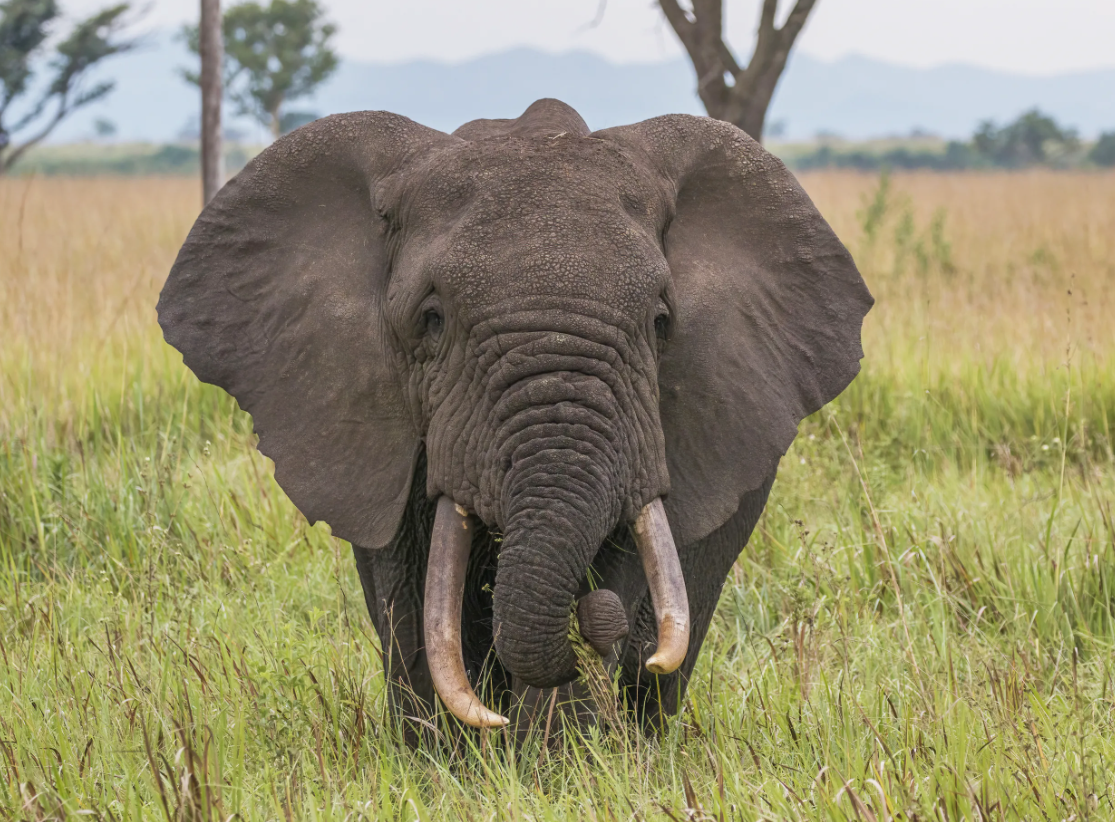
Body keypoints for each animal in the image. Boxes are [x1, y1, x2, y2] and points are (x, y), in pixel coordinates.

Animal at [159, 95, 869, 736]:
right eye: (432, 319)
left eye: (661, 322)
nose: (594, 621)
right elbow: (408, 591)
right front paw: (444, 763)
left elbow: (626, 555)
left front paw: (555, 761)